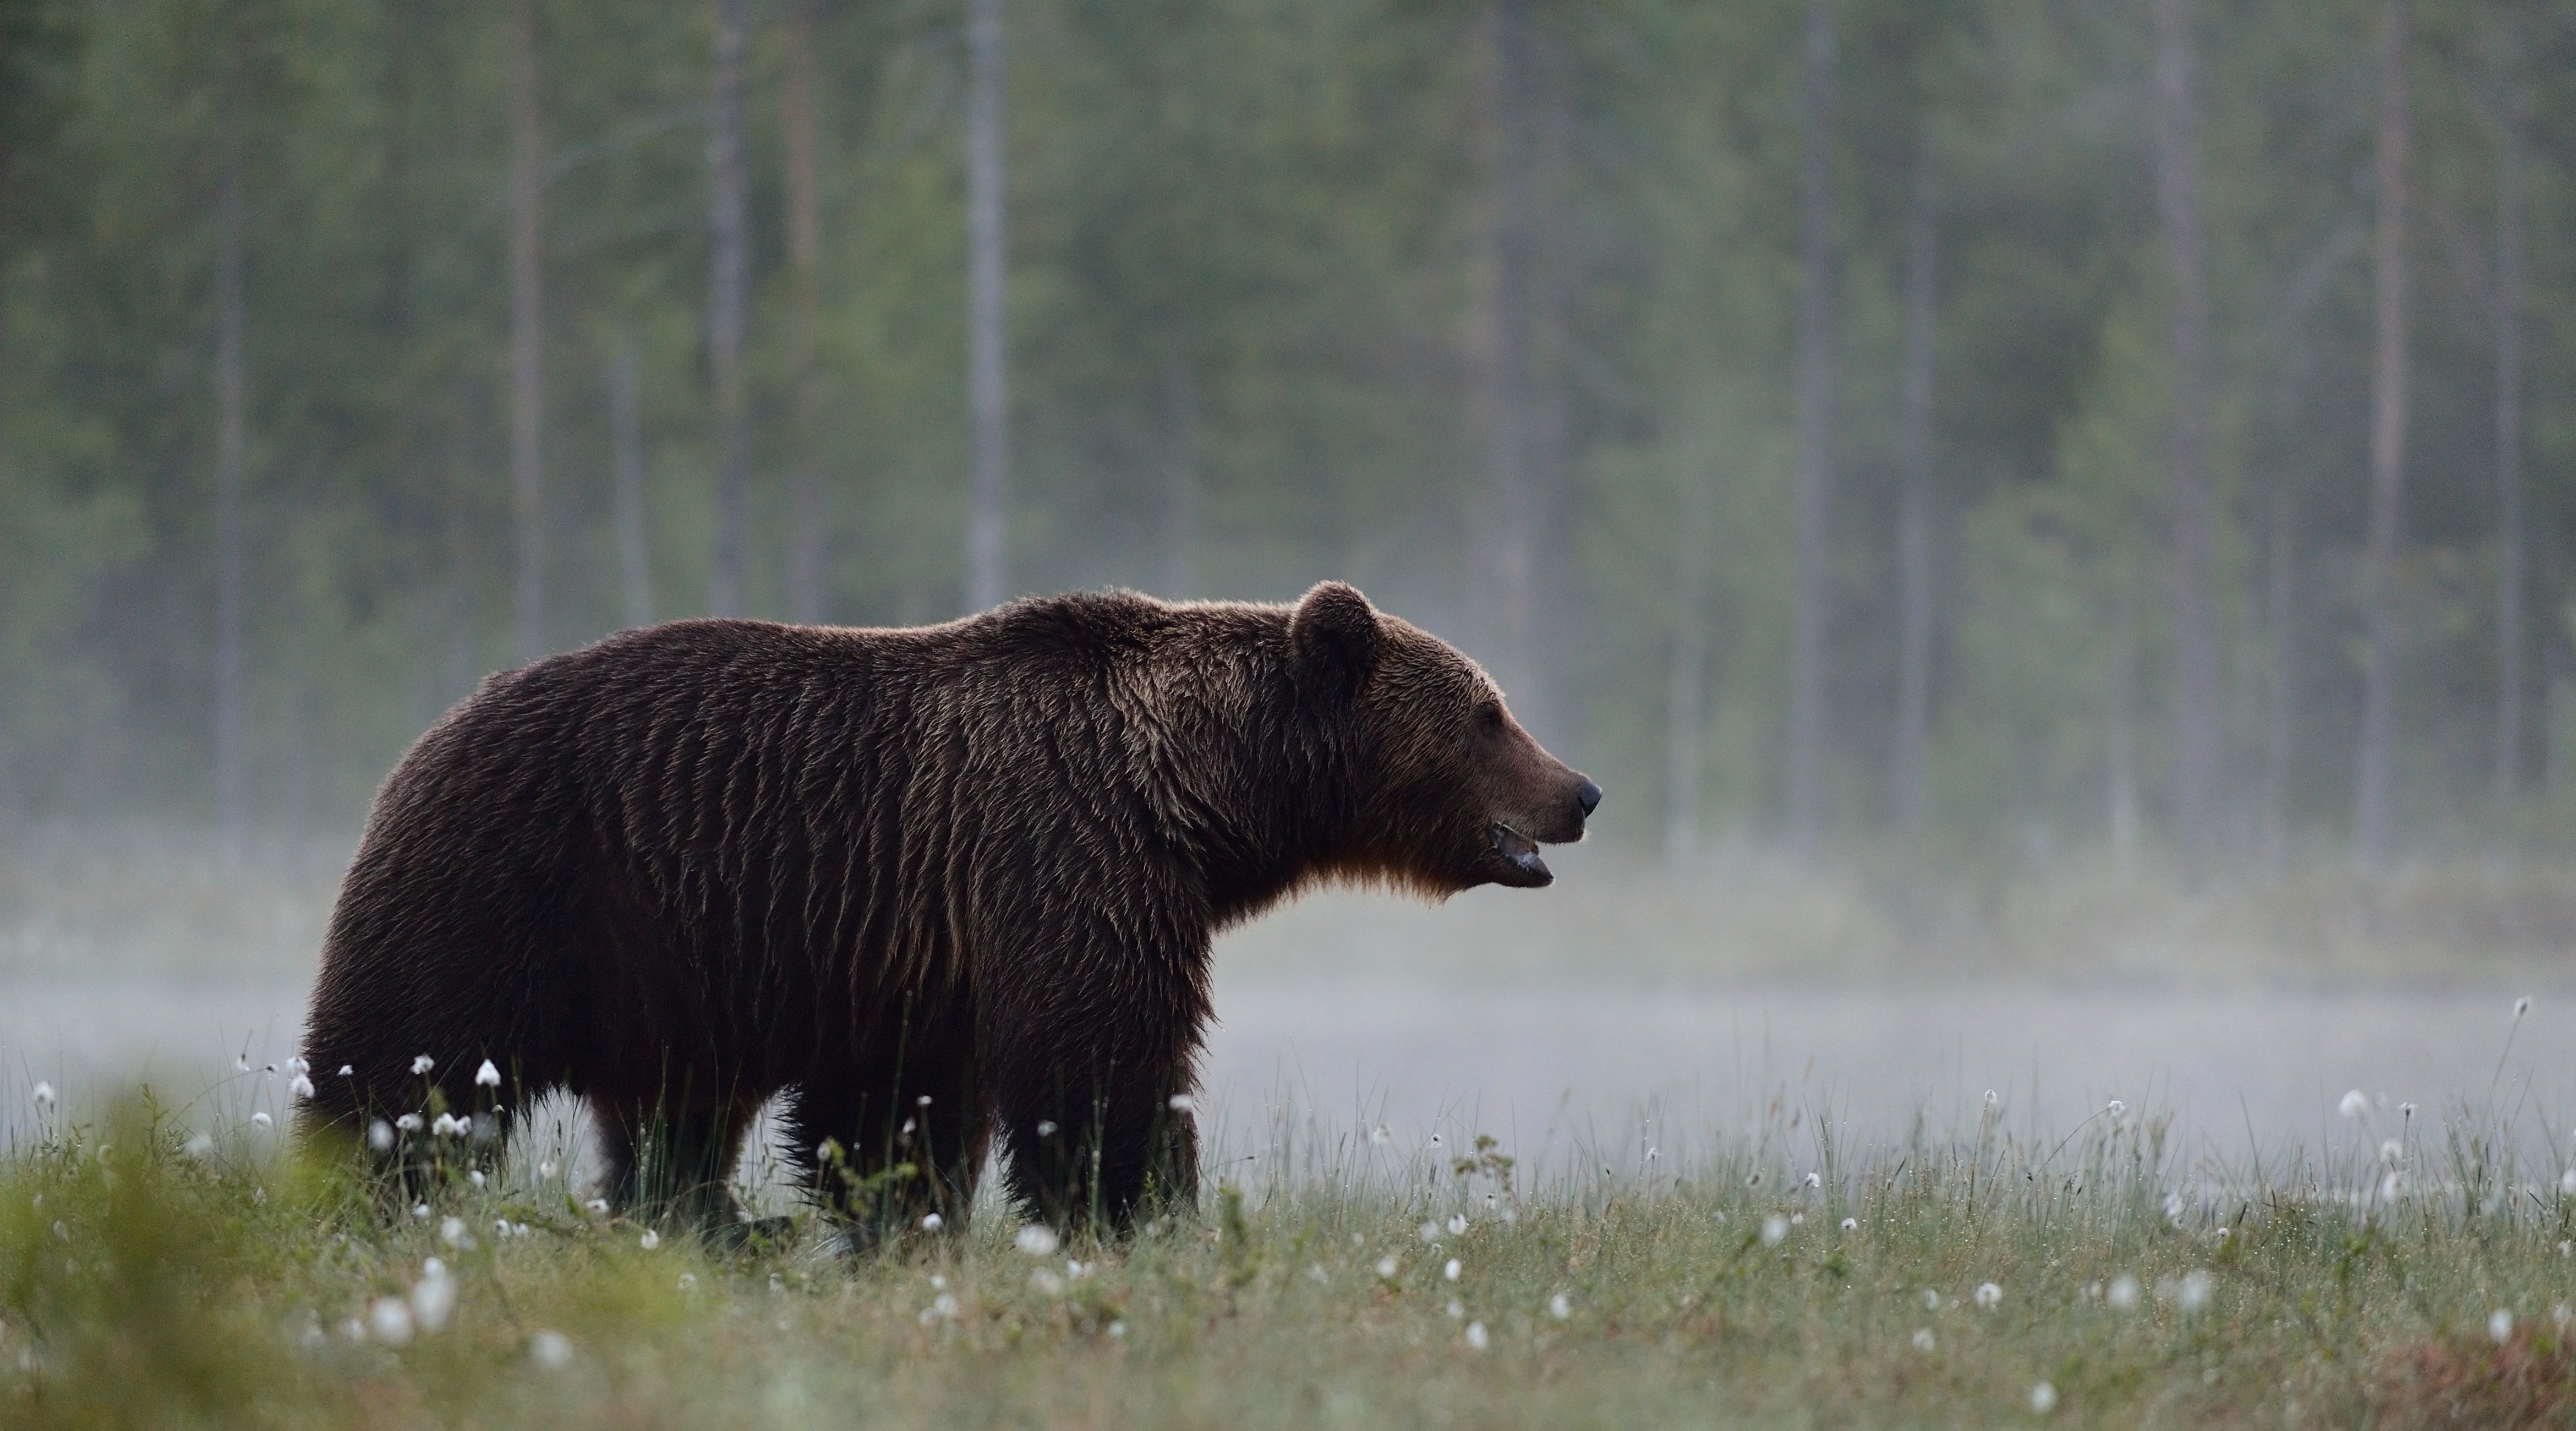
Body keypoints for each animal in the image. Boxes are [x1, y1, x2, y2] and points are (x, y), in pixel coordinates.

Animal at [296, 582, 1587, 1243]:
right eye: (1488, 713)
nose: (1580, 792)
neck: (1196, 794)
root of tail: (428, 736)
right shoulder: (1063, 848)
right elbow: (1100, 1060)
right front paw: (1145, 1214)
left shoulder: (920, 946)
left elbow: (896, 1108)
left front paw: (901, 1219)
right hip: (510, 885)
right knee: (406, 1068)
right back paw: (361, 1192)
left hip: (672, 967)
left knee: (673, 1118)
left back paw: (717, 1222)